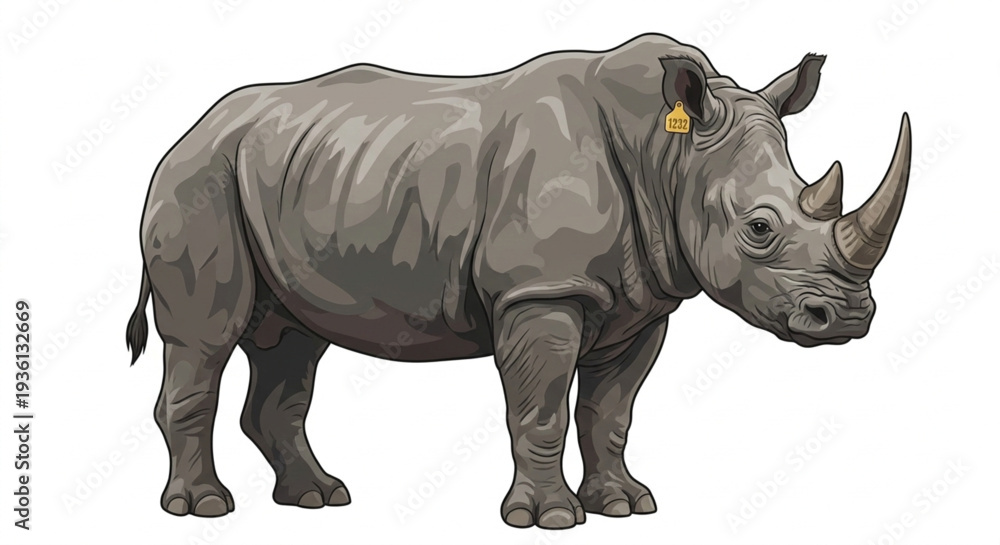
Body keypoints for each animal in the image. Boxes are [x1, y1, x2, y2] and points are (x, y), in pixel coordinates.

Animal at [126, 33, 910, 529]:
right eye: (759, 228)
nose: (847, 318)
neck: (669, 153)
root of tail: (184, 134)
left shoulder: (642, 302)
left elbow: (610, 412)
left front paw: (624, 505)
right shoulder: (542, 290)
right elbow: (541, 408)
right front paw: (551, 518)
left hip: (281, 176)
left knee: (289, 341)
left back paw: (319, 499)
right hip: (199, 180)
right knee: (206, 336)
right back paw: (204, 508)